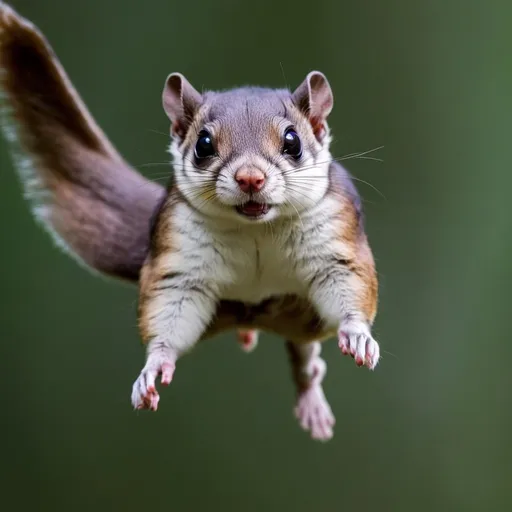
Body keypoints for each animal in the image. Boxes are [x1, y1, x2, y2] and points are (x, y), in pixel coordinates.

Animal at [1, 2, 380, 440]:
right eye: (203, 144)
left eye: (292, 141)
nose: (250, 178)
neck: (255, 229)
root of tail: (256, 313)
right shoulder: (177, 251)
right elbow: (170, 308)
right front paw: (153, 366)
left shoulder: (334, 230)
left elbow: (346, 280)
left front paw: (357, 333)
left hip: (300, 312)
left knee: (304, 356)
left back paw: (312, 399)